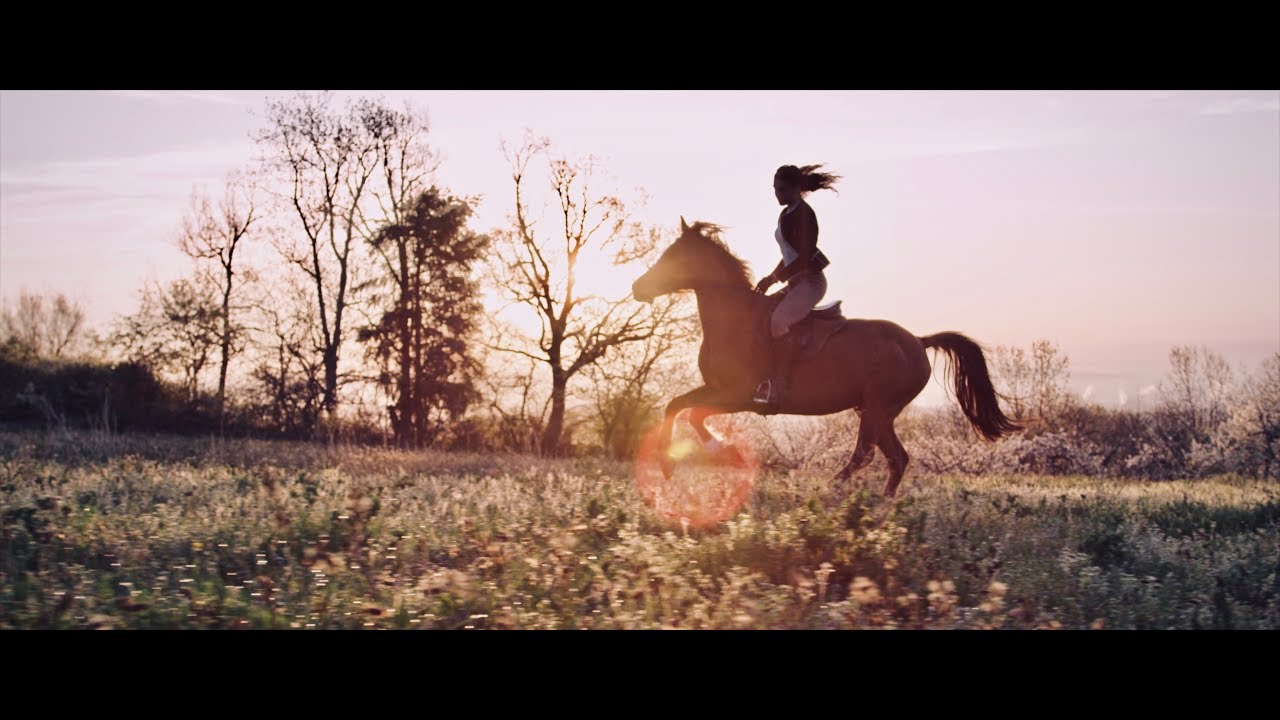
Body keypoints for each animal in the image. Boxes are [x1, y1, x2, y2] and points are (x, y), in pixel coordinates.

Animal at [631, 218, 1021, 497]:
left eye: (674, 257)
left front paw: (726, 452)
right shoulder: (715, 388)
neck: (734, 320)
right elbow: (675, 405)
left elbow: (694, 414)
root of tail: (917, 341)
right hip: (878, 411)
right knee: (893, 457)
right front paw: (668, 465)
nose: (637, 287)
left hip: (878, 407)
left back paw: (833, 491)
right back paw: (880, 509)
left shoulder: (738, 395)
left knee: (871, 454)